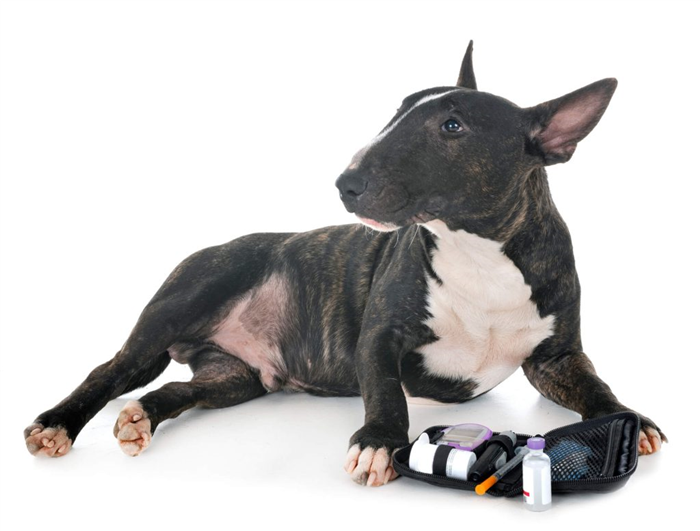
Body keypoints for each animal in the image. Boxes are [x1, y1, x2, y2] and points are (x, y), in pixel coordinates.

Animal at [24, 41, 664, 486]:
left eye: (452, 125)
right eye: (397, 109)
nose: (345, 184)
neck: (478, 254)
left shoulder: (556, 357)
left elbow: (594, 383)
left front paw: (630, 418)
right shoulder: (378, 337)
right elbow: (386, 391)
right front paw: (380, 443)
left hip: (236, 378)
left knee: (183, 389)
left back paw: (143, 417)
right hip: (182, 302)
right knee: (109, 371)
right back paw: (57, 425)